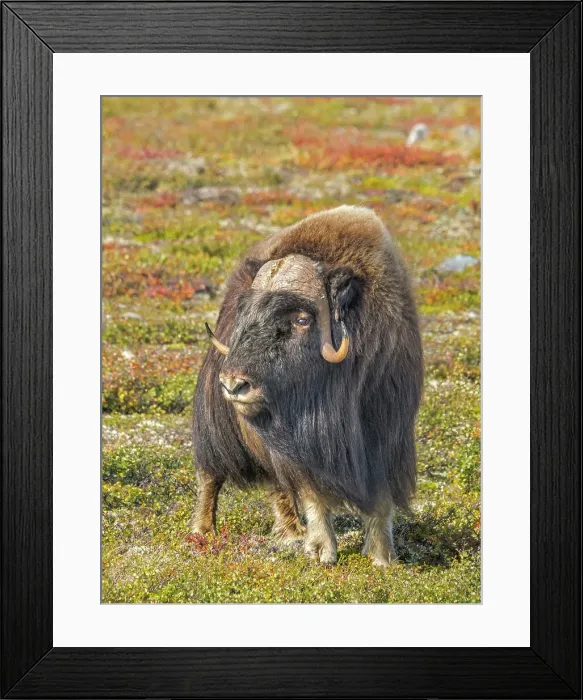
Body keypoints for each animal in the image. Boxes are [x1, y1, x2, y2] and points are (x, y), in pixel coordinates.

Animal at [190, 206, 423, 566]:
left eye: (301, 319)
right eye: (246, 315)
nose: (234, 384)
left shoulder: (386, 433)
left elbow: (381, 498)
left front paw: (382, 557)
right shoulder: (301, 449)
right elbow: (312, 491)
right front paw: (322, 551)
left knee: (276, 486)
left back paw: (291, 531)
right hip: (217, 424)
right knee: (211, 474)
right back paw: (203, 531)